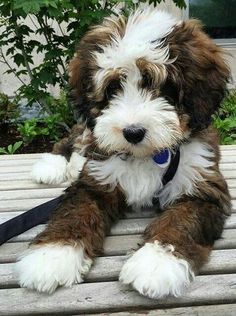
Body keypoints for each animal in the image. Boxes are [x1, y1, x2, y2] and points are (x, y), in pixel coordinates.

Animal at [15, 4, 231, 298]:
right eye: (113, 88)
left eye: (161, 86)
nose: (133, 132)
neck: (148, 155)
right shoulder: (95, 183)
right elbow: (75, 212)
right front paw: (53, 255)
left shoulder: (203, 188)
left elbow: (182, 221)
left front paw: (156, 263)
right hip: (89, 132)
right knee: (74, 137)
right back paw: (54, 166)